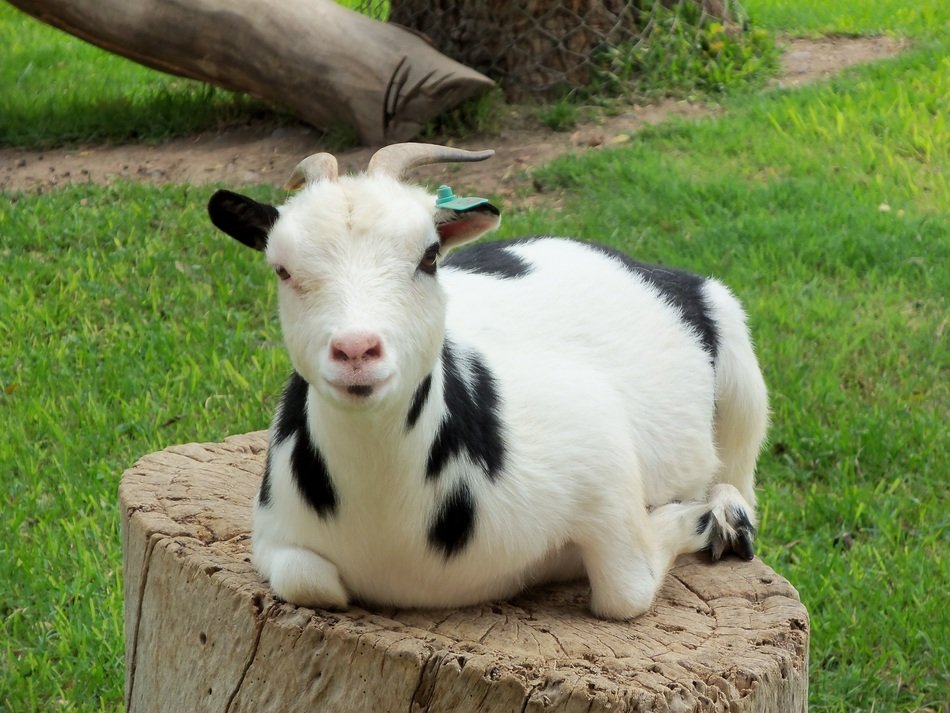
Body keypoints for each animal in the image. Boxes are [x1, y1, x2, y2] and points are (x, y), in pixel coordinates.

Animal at [207, 143, 769, 619]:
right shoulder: (275, 536)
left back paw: (728, 513)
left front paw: (700, 519)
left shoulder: (598, 456)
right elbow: (308, 581)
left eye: (429, 256)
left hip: (737, 354)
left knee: (739, 473)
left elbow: (625, 591)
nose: (356, 351)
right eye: (282, 269)